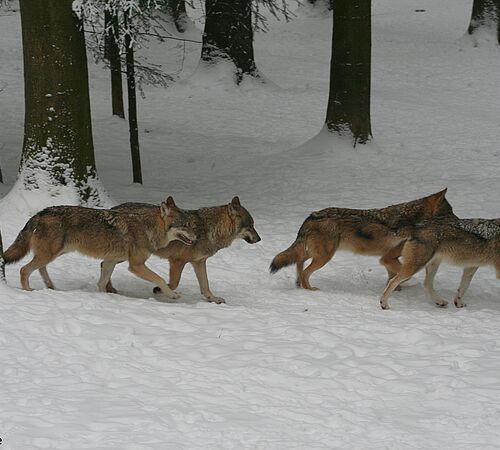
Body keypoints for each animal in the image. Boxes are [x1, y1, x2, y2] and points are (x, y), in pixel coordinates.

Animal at [0, 197, 196, 298]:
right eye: (185, 225)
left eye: (191, 224)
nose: (197, 237)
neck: (149, 227)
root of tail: (40, 213)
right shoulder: (136, 265)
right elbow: (160, 279)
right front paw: (172, 295)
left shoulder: (110, 260)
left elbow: (102, 282)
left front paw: (105, 298)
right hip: (49, 254)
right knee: (24, 270)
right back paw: (28, 291)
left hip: (55, 253)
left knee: (40, 268)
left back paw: (51, 287)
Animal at [105, 196, 262, 304]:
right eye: (250, 226)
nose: (260, 239)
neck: (209, 229)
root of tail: (112, 208)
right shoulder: (177, 261)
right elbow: (174, 283)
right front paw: (160, 289)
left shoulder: (199, 262)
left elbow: (205, 286)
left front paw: (213, 299)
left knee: (103, 264)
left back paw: (109, 289)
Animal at [270, 189, 458, 290]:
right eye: (450, 212)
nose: (459, 221)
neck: (411, 220)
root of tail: (311, 216)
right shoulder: (387, 258)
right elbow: (404, 275)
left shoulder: (388, 259)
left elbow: (392, 277)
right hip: (324, 257)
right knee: (304, 271)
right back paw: (310, 289)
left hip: (316, 254)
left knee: (299, 262)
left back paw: (298, 284)